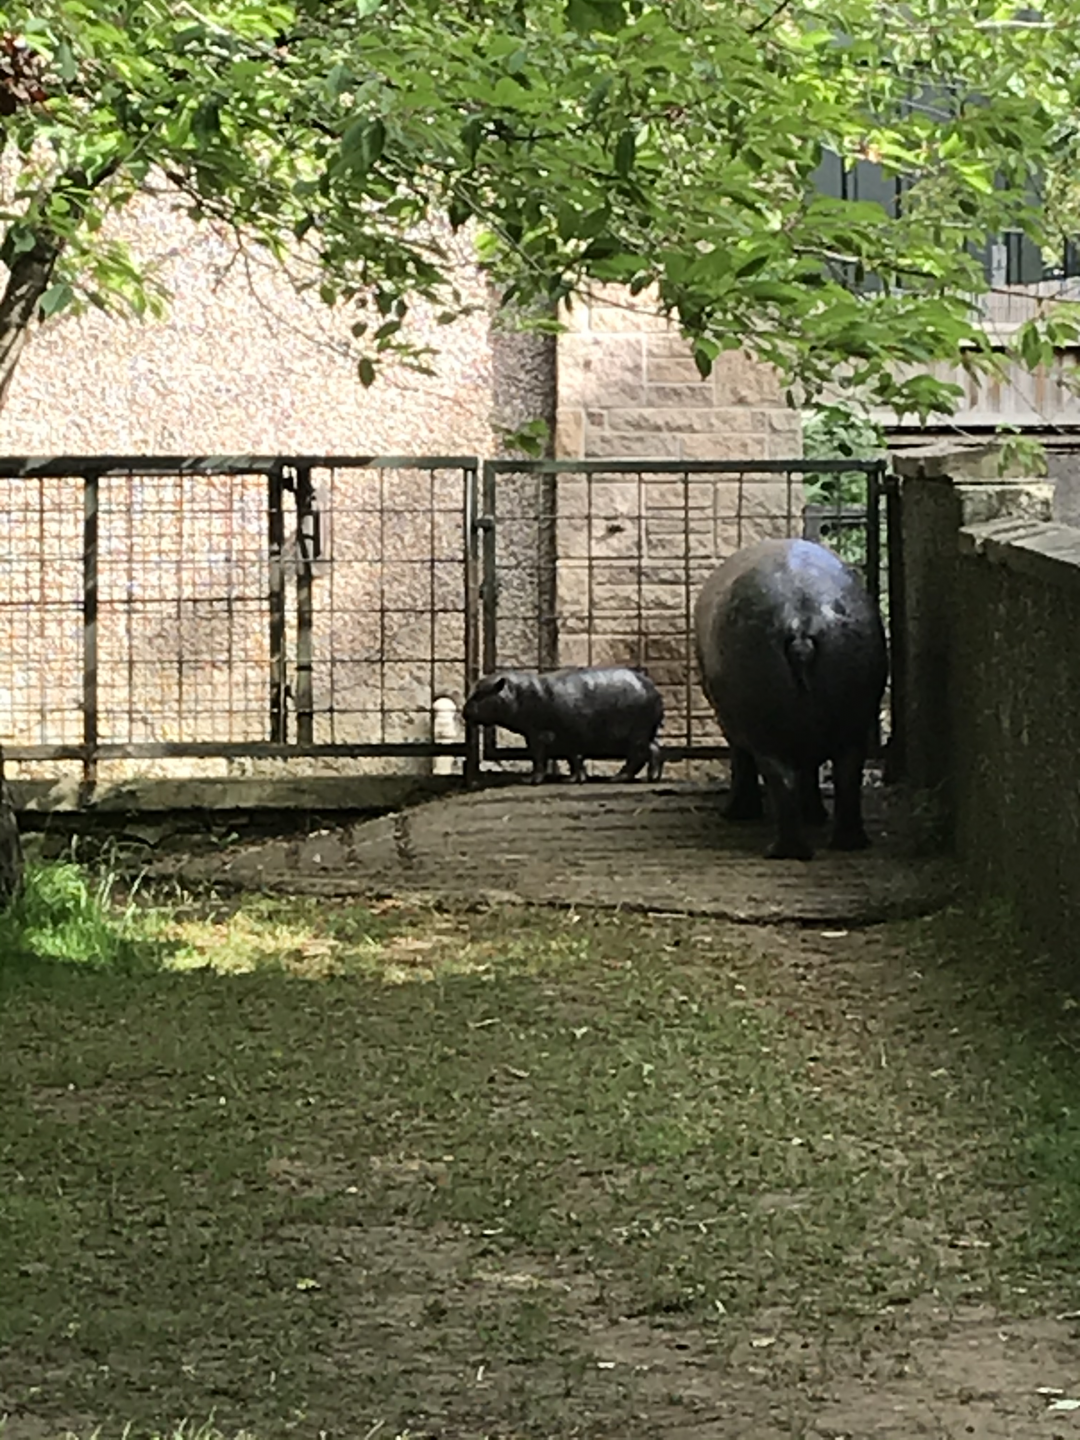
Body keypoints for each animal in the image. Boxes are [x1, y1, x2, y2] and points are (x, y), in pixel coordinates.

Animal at [462, 666, 664, 784]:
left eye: (479, 694)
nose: (464, 711)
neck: (518, 693)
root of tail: (654, 689)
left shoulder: (539, 735)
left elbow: (539, 758)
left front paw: (530, 780)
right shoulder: (565, 737)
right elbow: (573, 758)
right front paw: (574, 779)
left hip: (635, 735)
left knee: (639, 755)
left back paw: (619, 778)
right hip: (641, 734)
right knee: (654, 749)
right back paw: (650, 777)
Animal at [694, 538, 888, 860]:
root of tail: (799, 620)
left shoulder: (732, 723)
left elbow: (741, 758)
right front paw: (815, 815)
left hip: (764, 726)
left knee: (779, 776)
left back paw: (782, 850)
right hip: (853, 722)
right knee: (847, 775)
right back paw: (848, 843)